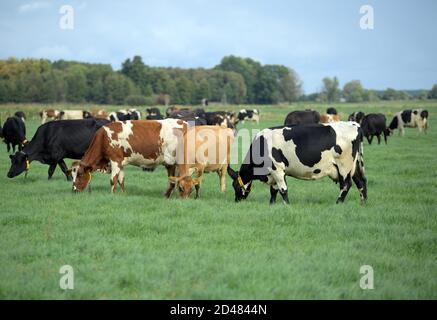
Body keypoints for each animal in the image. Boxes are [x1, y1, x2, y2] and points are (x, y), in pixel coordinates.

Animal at [225, 121, 364, 204]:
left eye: (235, 186)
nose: (237, 200)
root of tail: (355, 124)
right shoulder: (274, 173)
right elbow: (274, 190)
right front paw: (272, 204)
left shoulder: (277, 169)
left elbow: (283, 189)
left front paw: (286, 205)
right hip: (354, 165)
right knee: (361, 181)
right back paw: (363, 202)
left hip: (344, 166)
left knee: (346, 185)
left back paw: (338, 202)